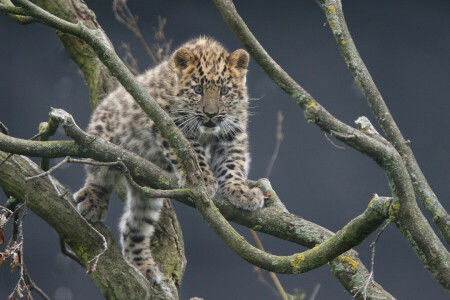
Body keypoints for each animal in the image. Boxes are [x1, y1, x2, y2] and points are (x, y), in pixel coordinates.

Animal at [74, 36, 264, 284]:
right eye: (198, 89)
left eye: (224, 91)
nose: (211, 114)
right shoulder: (171, 124)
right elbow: (191, 152)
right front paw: (203, 179)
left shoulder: (232, 132)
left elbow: (233, 163)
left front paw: (241, 192)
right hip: (102, 143)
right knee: (97, 175)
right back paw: (92, 203)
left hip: (147, 193)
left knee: (133, 226)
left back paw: (145, 269)